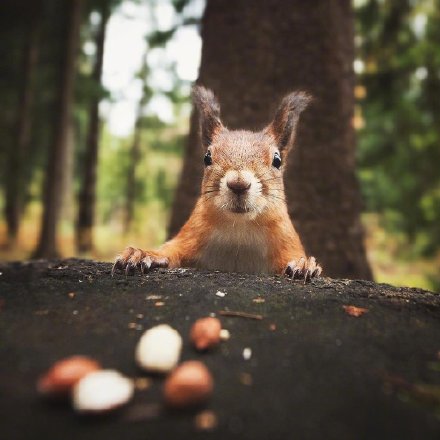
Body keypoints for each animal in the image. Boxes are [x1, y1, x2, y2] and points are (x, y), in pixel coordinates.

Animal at [111, 85, 322, 282]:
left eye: (277, 160)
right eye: (207, 157)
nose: (238, 184)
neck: (239, 230)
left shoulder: (287, 242)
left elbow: (292, 258)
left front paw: (303, 264)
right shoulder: (190, 235)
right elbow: (171, 251)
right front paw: (142, 254)